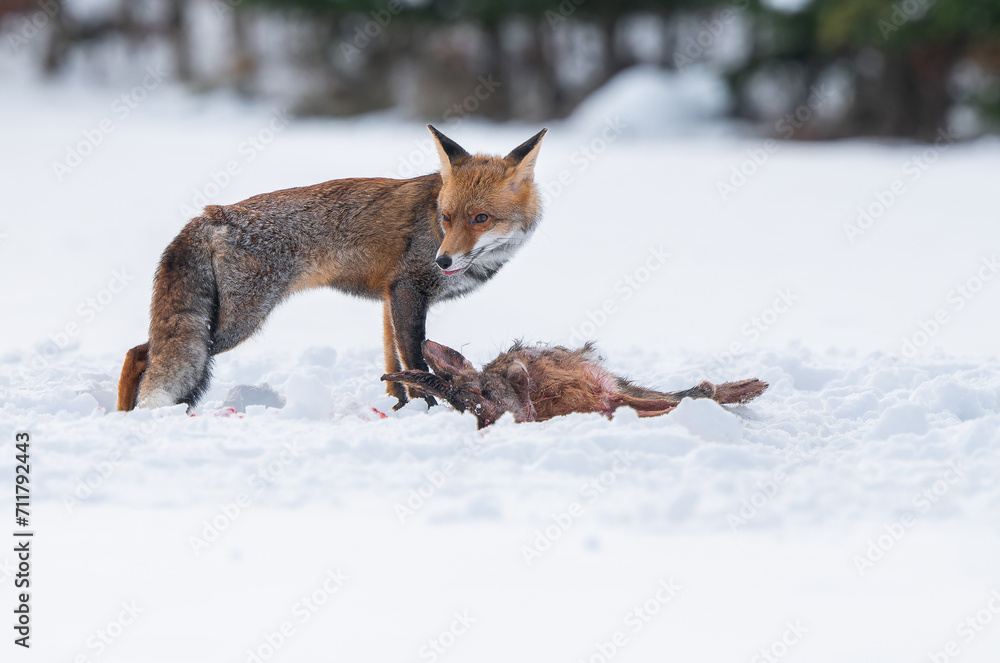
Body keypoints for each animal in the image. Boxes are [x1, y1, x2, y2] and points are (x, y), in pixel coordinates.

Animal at [117, 125, 547, 411]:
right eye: (447, 217)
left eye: (480, 218)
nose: (442, 261)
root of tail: (212, 213)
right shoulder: (408, 289)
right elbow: (415, 364)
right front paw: (427, 412)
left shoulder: (391, 298)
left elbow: (393, 366)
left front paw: (398, 410)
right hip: (234, 323)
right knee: (139, 353)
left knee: (142, 353)